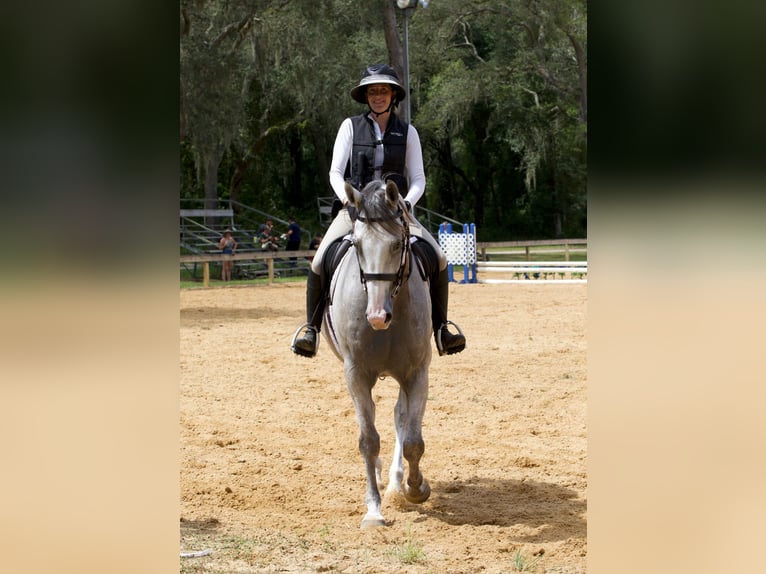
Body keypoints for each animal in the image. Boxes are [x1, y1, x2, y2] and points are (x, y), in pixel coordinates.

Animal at [322, 180, 432, 532]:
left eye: (398, 245)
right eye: (356, 246)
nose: (377, 316)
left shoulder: (416, 373)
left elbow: (413, 440)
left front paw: (416, 488)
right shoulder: (356, 374)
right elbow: (368, 440)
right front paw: (373, 509)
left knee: (400, 418)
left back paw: (398, 482)